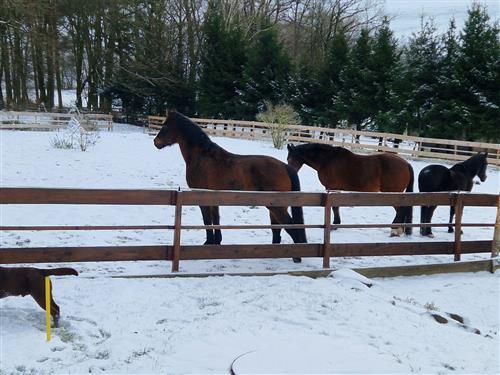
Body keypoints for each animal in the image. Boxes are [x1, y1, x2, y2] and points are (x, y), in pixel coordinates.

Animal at [154, 110, 306, 262]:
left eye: (165, 126)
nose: (155, 142)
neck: (202, 156)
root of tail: (285, 167)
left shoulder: (202, 198)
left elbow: (207, 221)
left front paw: (208, 242)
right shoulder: (214, 198)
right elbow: (216, 220)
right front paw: (216, 242)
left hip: (277, 206)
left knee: (291, 226)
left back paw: (296, 256)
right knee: (277, 228)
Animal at [286, 142, 414, 236]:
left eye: (290, 159)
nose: (290, 172)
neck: (327, 160)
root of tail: (406, 164)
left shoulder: (332, 188)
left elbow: (335, 207)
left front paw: (335, 224)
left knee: (400, 209)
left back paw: (395, 230)